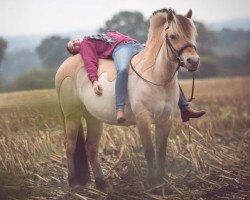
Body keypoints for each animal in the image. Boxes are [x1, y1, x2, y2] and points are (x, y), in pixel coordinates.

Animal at [54, 8, 199, 192]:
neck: (154, 75)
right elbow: (149, 151)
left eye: (193, 33)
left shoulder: (165, 120)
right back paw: (73, 182)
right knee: (70, 145)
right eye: (173, 36)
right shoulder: (143, 119)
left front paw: (162, 180)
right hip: (72, 116)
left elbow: (161, 151)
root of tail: (64, 67)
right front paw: (152, 183)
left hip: (93, 118)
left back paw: (103, 184)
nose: (193, 61)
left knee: (91, 148)